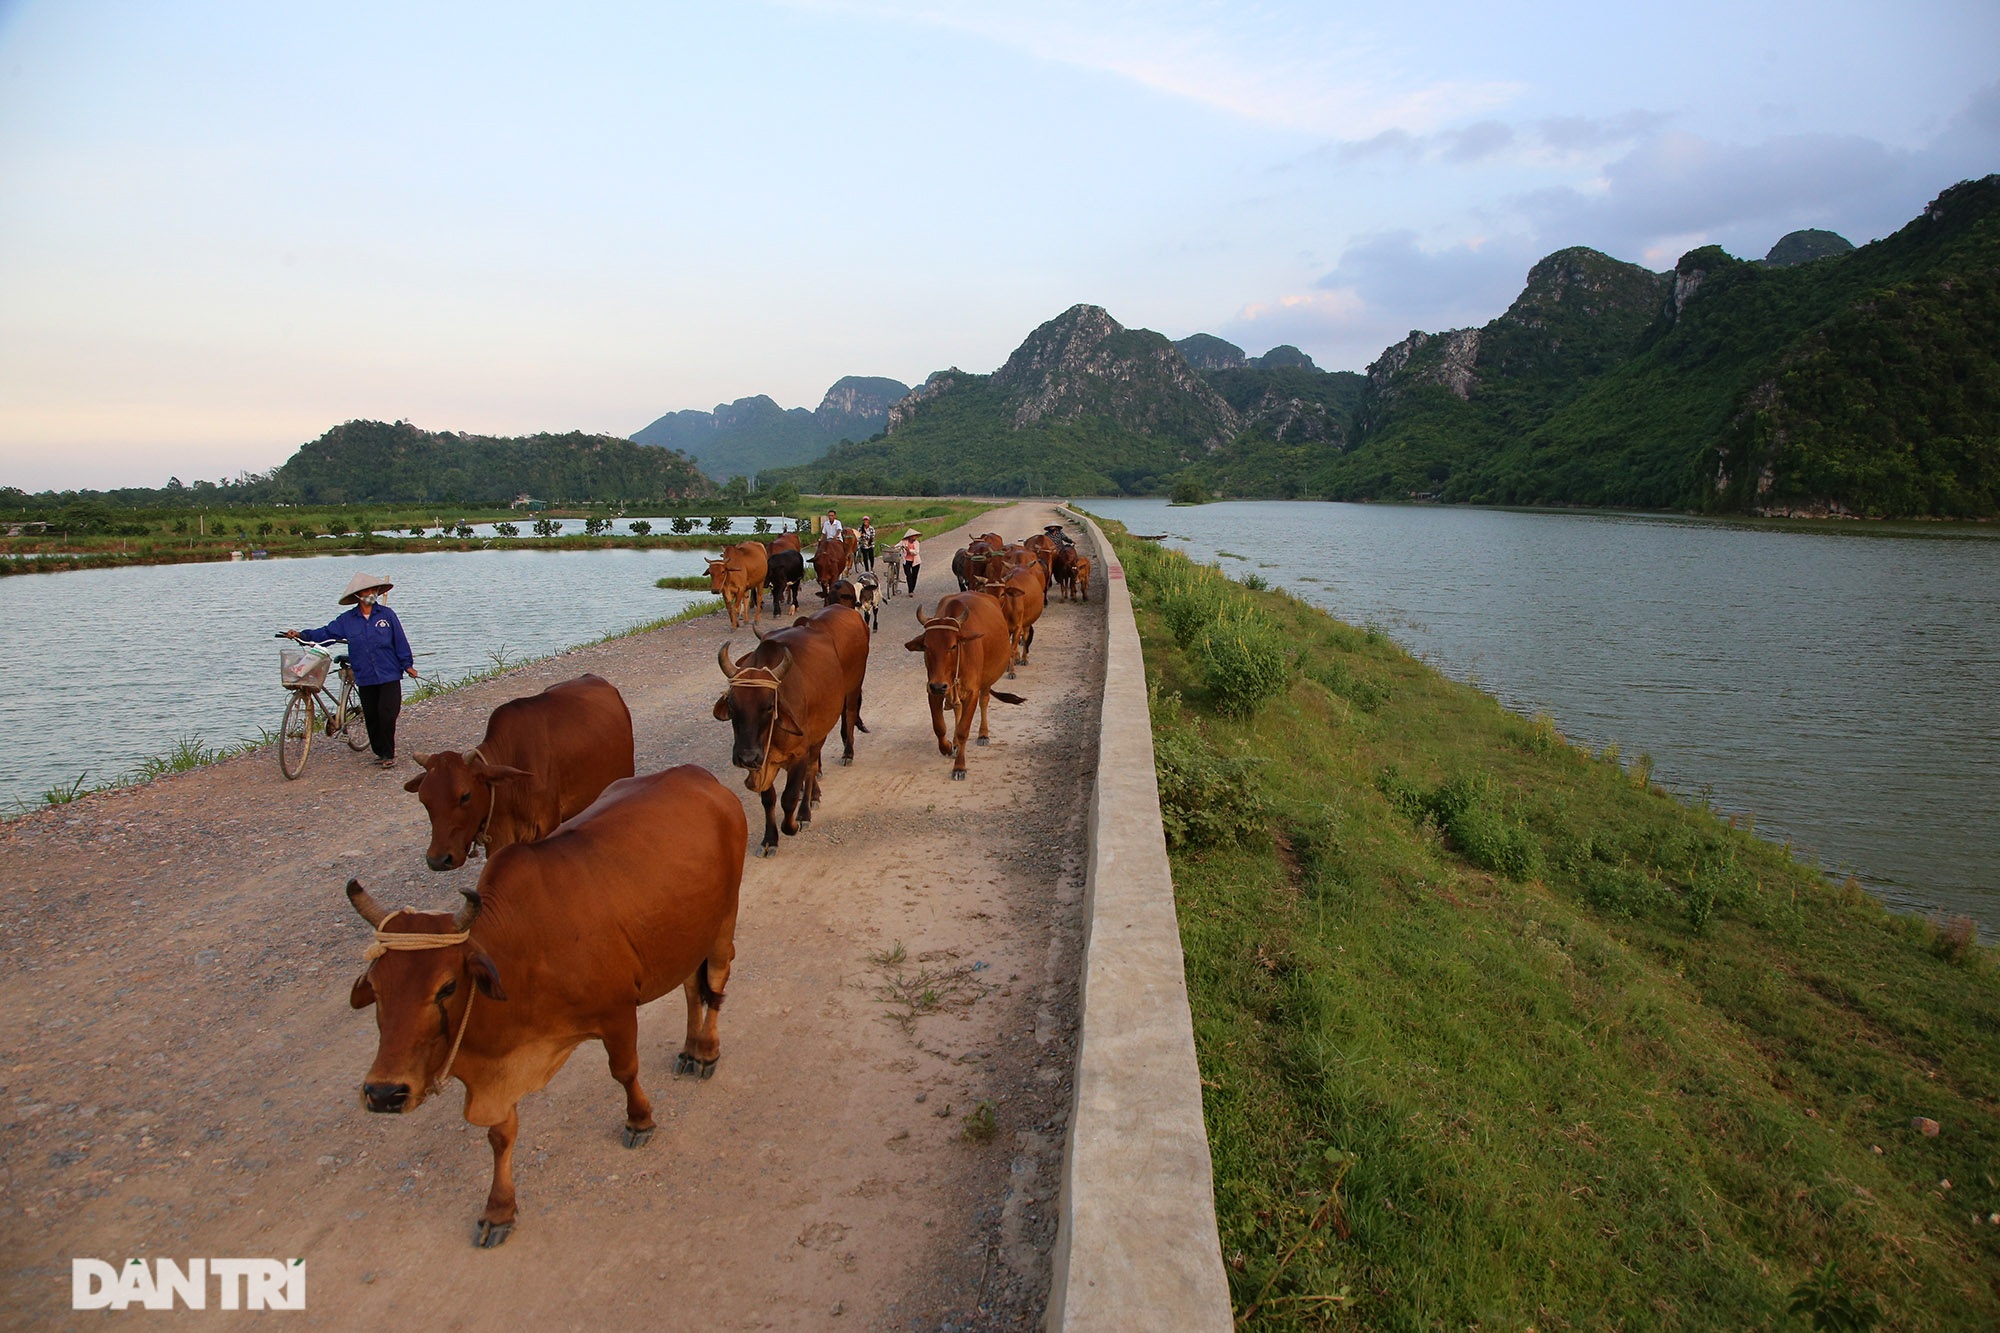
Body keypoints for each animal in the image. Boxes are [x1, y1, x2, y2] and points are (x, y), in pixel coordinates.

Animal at [348, 764, 748, 1240]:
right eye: (376, 988)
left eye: (446, 987)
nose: (384, 1093)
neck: (523, 949)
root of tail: (700, 777)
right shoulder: (500, 1067)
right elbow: (501, 1134)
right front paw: (499, 1209)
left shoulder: (617, 1013)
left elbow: (624, 1071)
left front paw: (640, 1120)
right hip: (686, 933)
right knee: (690, 986)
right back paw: (688, 1049)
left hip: (723, 921)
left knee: (718, 981)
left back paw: (705, 1051)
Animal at [724, 600, 872, 852]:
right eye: (732, 705)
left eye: (768, 706)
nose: (746, 757)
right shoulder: (764, 762)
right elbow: (769, 799)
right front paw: (769, 840)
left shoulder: (800, 752)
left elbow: (789, 796)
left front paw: (795, 822)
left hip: (851, 690)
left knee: (848, 718)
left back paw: (844, 758)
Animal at [912, 592, 1024, 780]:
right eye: (926, 646)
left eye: (953, 646)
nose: (939, 686)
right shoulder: (932, 691)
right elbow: (939, 727)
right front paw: (949, 747)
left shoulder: (972, 692)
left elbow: (964, 730)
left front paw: (959, 767)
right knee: (958, 709)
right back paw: (956, 742)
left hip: (986, 681)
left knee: (984, 701)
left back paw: (983, 734)